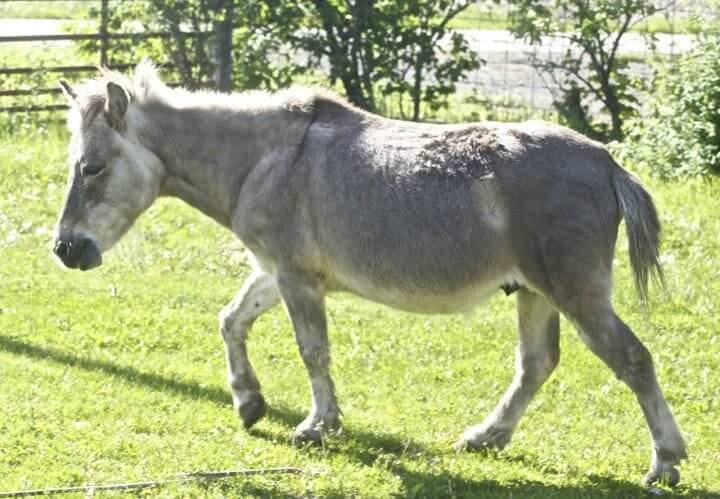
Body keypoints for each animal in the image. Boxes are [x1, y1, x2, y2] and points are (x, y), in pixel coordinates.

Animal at [53, 62, 686, 486]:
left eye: (92, 167)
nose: (65, 249)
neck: (264, 157)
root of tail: (606, 163)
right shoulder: (276, 271)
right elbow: (231, 321)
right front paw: (249, 401)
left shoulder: (297, 279)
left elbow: (313, 351)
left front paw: (318, 425)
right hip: (534, 294)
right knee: (536, 364)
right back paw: (487, 436)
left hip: (577, 295)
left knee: (633, 361)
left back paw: (666, 461)